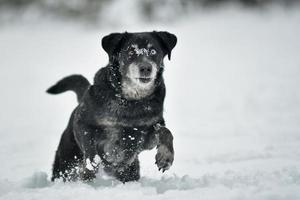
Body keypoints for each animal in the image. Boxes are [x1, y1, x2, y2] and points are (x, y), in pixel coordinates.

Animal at [47, 31, 176, 183]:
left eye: (153, 51)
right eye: (130, 51)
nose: (145, 68)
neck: (131, 100)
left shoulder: (144, 135)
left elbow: (166, 132)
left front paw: (166, 157)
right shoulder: (83, 124)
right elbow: (91, 153)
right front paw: (89, 171)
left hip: (130, 172)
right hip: (66, 162)